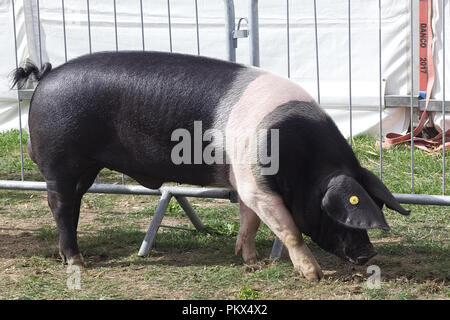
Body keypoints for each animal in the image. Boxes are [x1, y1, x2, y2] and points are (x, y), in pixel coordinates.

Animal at [12, 50, 410, 280]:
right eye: (338, 212)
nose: (369, 253)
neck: (303, 160)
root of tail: (46, 75)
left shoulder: (244, 178)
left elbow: (249, 221)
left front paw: (250, 261)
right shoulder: (256, 182)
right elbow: (288, 229)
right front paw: (314, 275)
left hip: (85, 167)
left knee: (73, 204)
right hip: (61, 160)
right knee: (60, 205)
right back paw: (78, 263)